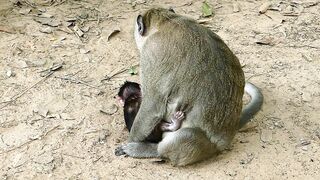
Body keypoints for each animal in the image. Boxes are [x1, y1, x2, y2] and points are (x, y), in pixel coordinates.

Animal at [115, 8, 262, 166]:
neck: (167, 22)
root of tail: (227, 137)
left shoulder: (151, 51)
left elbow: (152, 107)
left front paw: (130, 141)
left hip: (202, 145)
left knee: (186, 135)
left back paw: (151, 149)